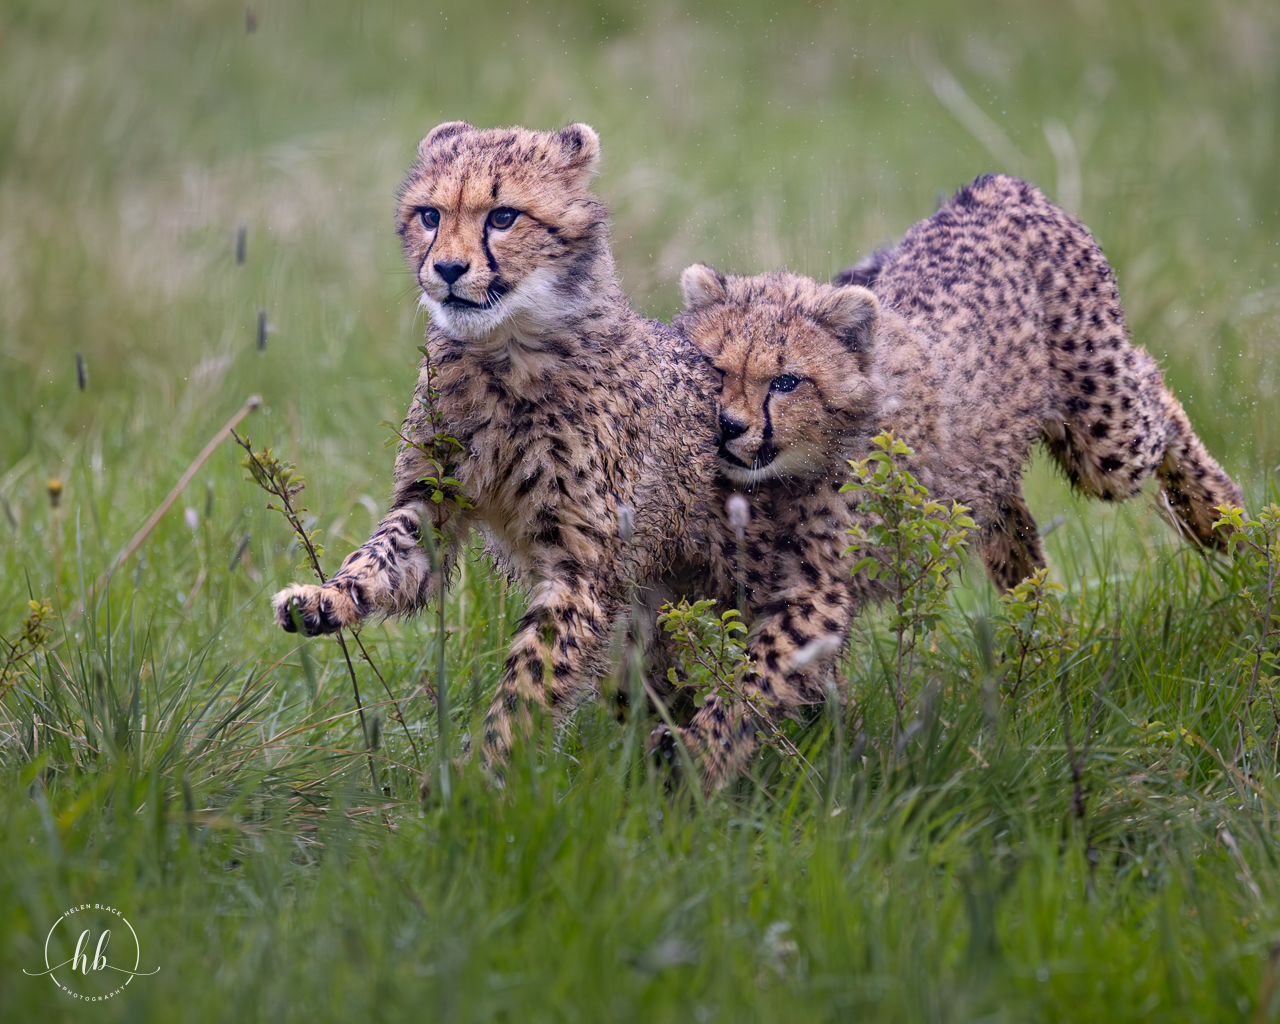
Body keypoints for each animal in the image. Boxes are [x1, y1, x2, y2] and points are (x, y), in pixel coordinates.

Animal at [270, 121, 728, 765]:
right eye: (430, 215)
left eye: (504, 217)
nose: (448, 269)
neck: (506, 353)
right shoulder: (434, 495)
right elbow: (384, 553)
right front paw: (327, 597)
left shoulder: (582, 569)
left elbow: (532, 678)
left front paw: (481, 769)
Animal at [661, 173, 1243, 787]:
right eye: (716, 368)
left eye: (786, 381)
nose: (729, 426)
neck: (784, 478)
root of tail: (993, 186)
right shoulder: (750, 581)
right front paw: (830, 742)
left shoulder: (815, 591)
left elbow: (758, 676)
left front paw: (698, 758)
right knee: (1004, 509)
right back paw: (1033, 604)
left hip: (1106, 437)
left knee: (1154, 393)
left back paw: (1217, 515)